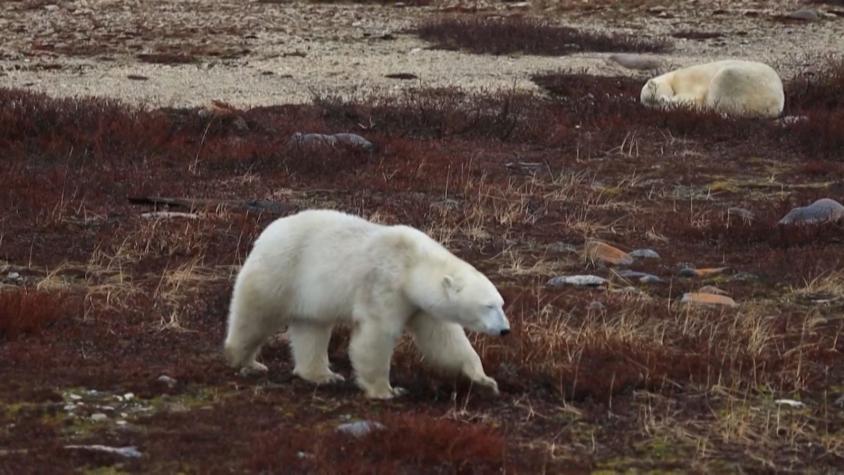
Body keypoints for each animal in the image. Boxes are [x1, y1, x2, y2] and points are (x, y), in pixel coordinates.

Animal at [223, 210, 508, 400]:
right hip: (281, 270)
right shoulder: (385, 284)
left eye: (501, 303)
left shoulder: (419, 305)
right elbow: (377, 334)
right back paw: (245, 361)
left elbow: (443, 340)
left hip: (310, 292)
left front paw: (485, 380)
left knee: (312, 328)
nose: (505, 330)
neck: (411, 263)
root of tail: (267, 231)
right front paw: (387, 390)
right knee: (256, 314)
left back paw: (324, 375)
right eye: (488, 306)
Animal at [644, 59, 788, 119]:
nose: (663, 102)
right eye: (651, 103)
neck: (672, 77)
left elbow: (691, 96)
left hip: (742, 82)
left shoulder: (688, 79)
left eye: (654, 98)